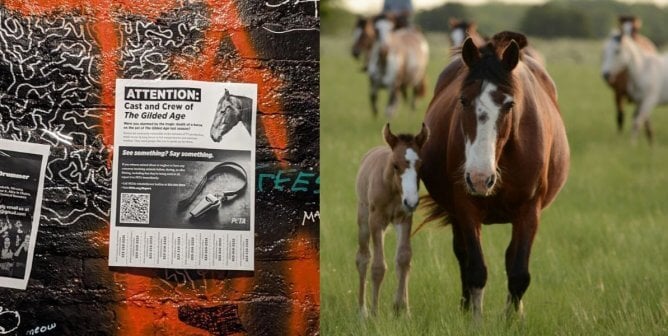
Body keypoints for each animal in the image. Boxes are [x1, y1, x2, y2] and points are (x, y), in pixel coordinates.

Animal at [354, 122, 428, 316]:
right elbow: (378, 266)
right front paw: (374, 313)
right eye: (395, 165)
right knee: (363, 258)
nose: (411, 201)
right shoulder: (376, 221)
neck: (393, 189)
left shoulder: (405, 219)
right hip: (363, 219)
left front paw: (402, 309)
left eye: (421, 165)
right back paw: (362, 311)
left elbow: (403, 259)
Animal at [422, 33, 568, 320]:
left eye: (509, 104)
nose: (480, 178)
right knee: (463, 256)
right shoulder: (465, 207)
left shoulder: (529, 210)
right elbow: (476, 269)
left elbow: (519, 273)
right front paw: (474, 320)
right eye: (463, 100)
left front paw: (511, 320)